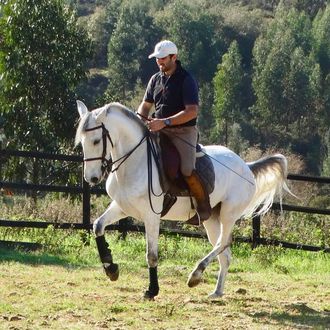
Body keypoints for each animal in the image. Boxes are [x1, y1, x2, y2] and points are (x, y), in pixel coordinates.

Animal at [75, 100, 292, 300]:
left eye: (96, 141)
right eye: (82, 142)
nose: (91, 178)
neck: (135, 162)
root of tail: (246, 166)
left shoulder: (151, 216)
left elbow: (151, 255)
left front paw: (152, 290)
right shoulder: (122, 208)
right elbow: (98, 226)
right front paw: (110, 267)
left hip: (228, 214)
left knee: (223, 243)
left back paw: (195, 275)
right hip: (211, 218)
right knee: (224, 254)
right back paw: (216, 291)